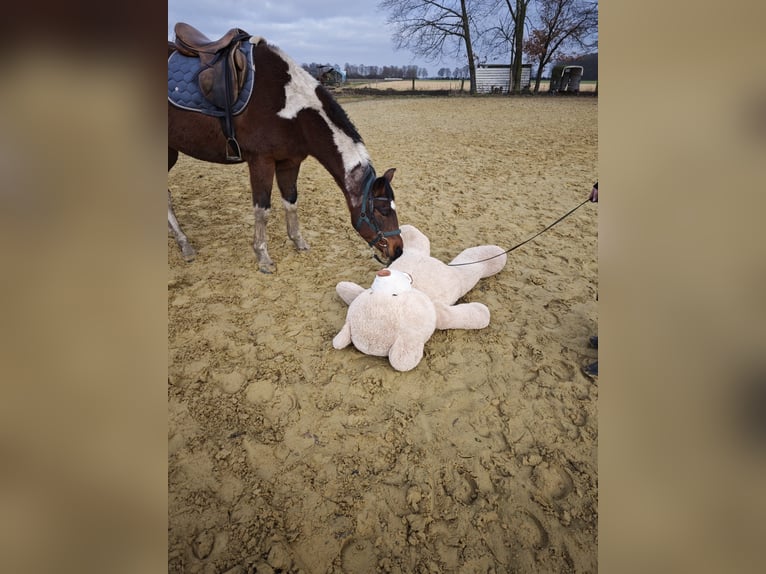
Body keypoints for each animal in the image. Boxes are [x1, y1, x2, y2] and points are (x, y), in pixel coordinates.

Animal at [167, 24, 404, 273]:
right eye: (383, 211)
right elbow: (262, 210)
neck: (292, 108)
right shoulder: (261, 161)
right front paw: (263, 256)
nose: (398, 250)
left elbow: (291, 202)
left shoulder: (290, 162)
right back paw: (185, 244)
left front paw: (298, 241)